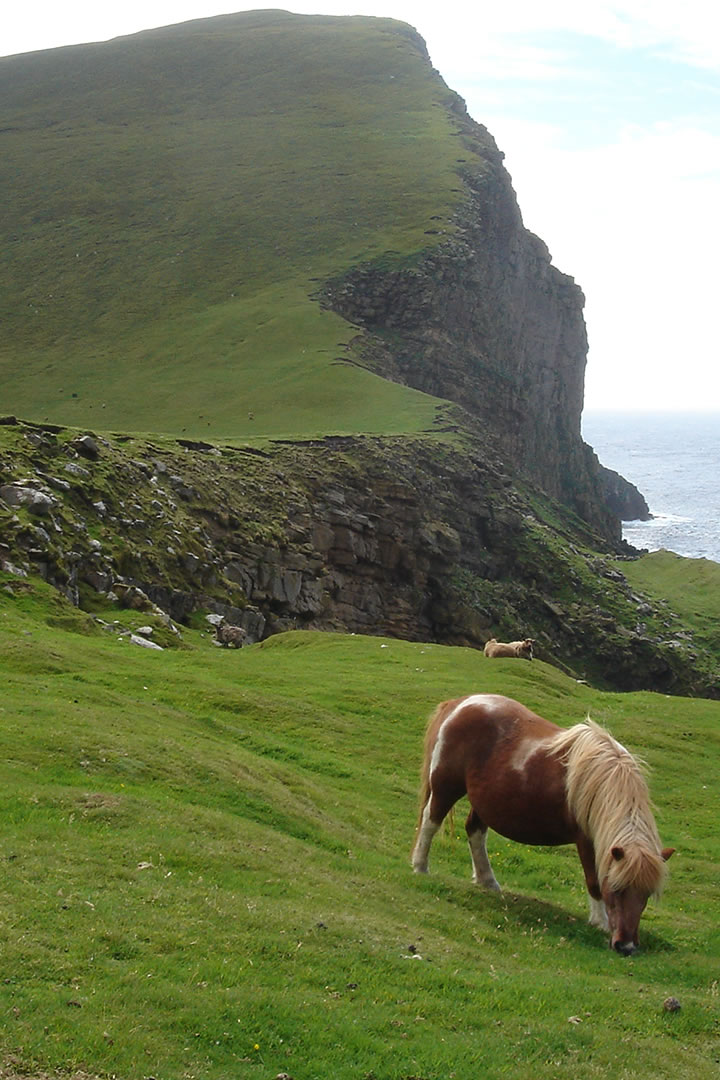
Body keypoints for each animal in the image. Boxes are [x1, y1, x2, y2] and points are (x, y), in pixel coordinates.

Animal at [414, 691, 673, 954]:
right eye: (618, 890)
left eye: (647, 894)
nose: (626, 946)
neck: (604, 782)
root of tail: (459, 704)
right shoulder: (586, 840)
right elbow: (593, 881)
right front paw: (599, 922)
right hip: (446, 787)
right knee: (430, 822)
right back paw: (420, 866)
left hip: (482, 801)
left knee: (474, 832)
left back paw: (487, 880)